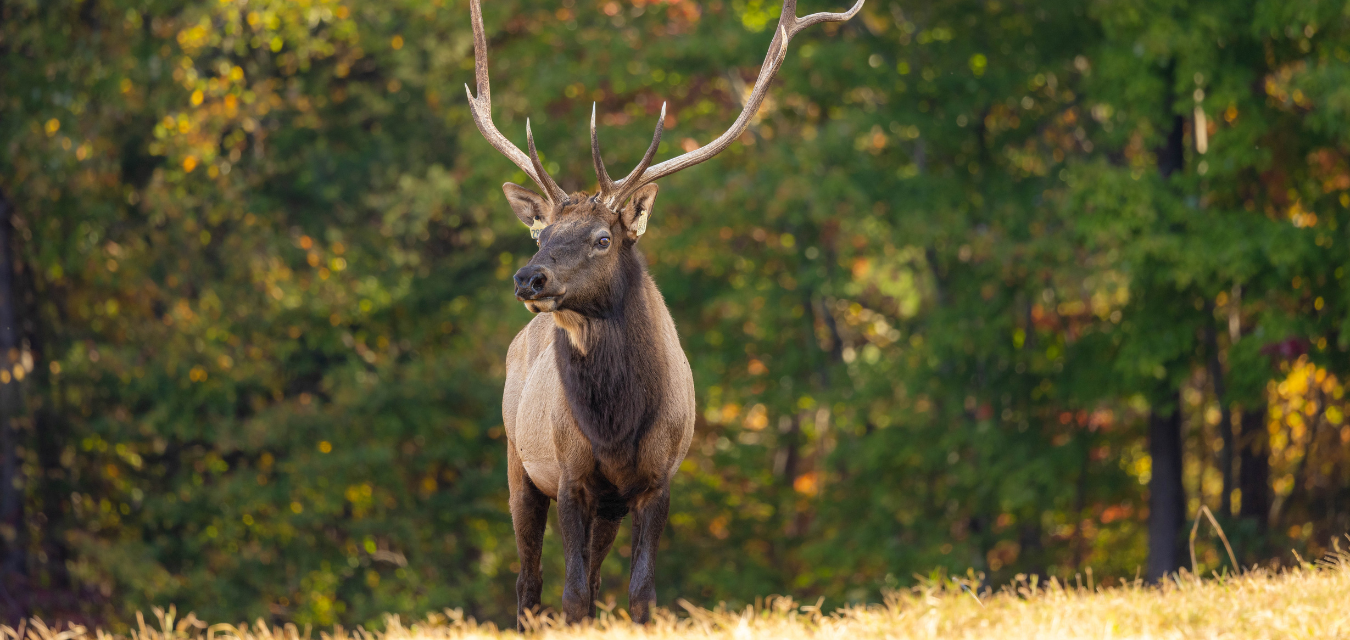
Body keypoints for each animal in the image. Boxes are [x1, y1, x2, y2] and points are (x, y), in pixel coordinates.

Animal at [463, 0, 864, 627]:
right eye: (541, 234)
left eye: (603, 238)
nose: (529, 277)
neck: (616, 426)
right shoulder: (571, 475)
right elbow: (570, 596)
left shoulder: (658, 481)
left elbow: (640, 593)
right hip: (517, 462)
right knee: (529, 585)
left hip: (604, 505)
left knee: (588, 581)